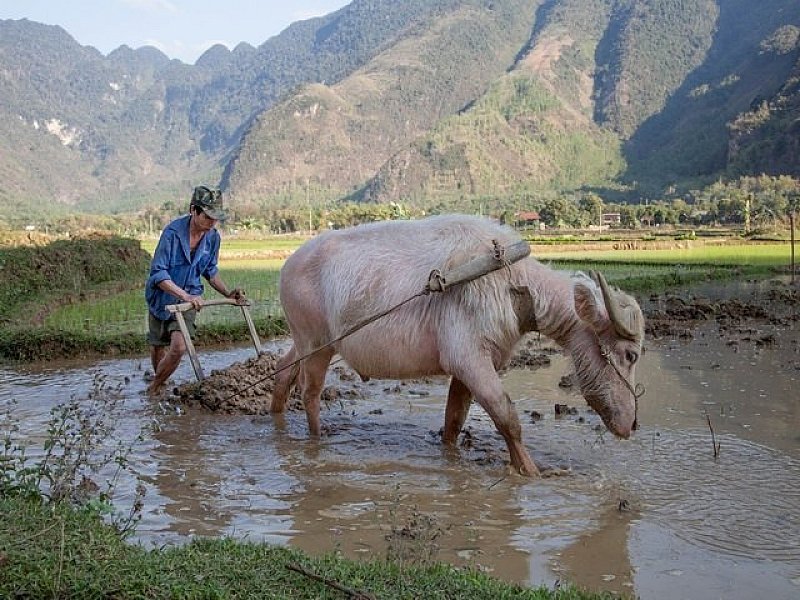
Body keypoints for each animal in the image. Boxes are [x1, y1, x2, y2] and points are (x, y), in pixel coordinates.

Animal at [274, 213, 644, 476]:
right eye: (630, 354)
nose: (632, 424)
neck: (511, 283)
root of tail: (288, 265)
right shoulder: (470, 360)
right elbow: (507, 417)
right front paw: (532, 471)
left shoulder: (469, 368)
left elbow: (454, 419)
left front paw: (451, 458)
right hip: (318, 343)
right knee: (309, 392)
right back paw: (317, 438)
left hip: (304, 342)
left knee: (282, 369)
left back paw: (277, 418)